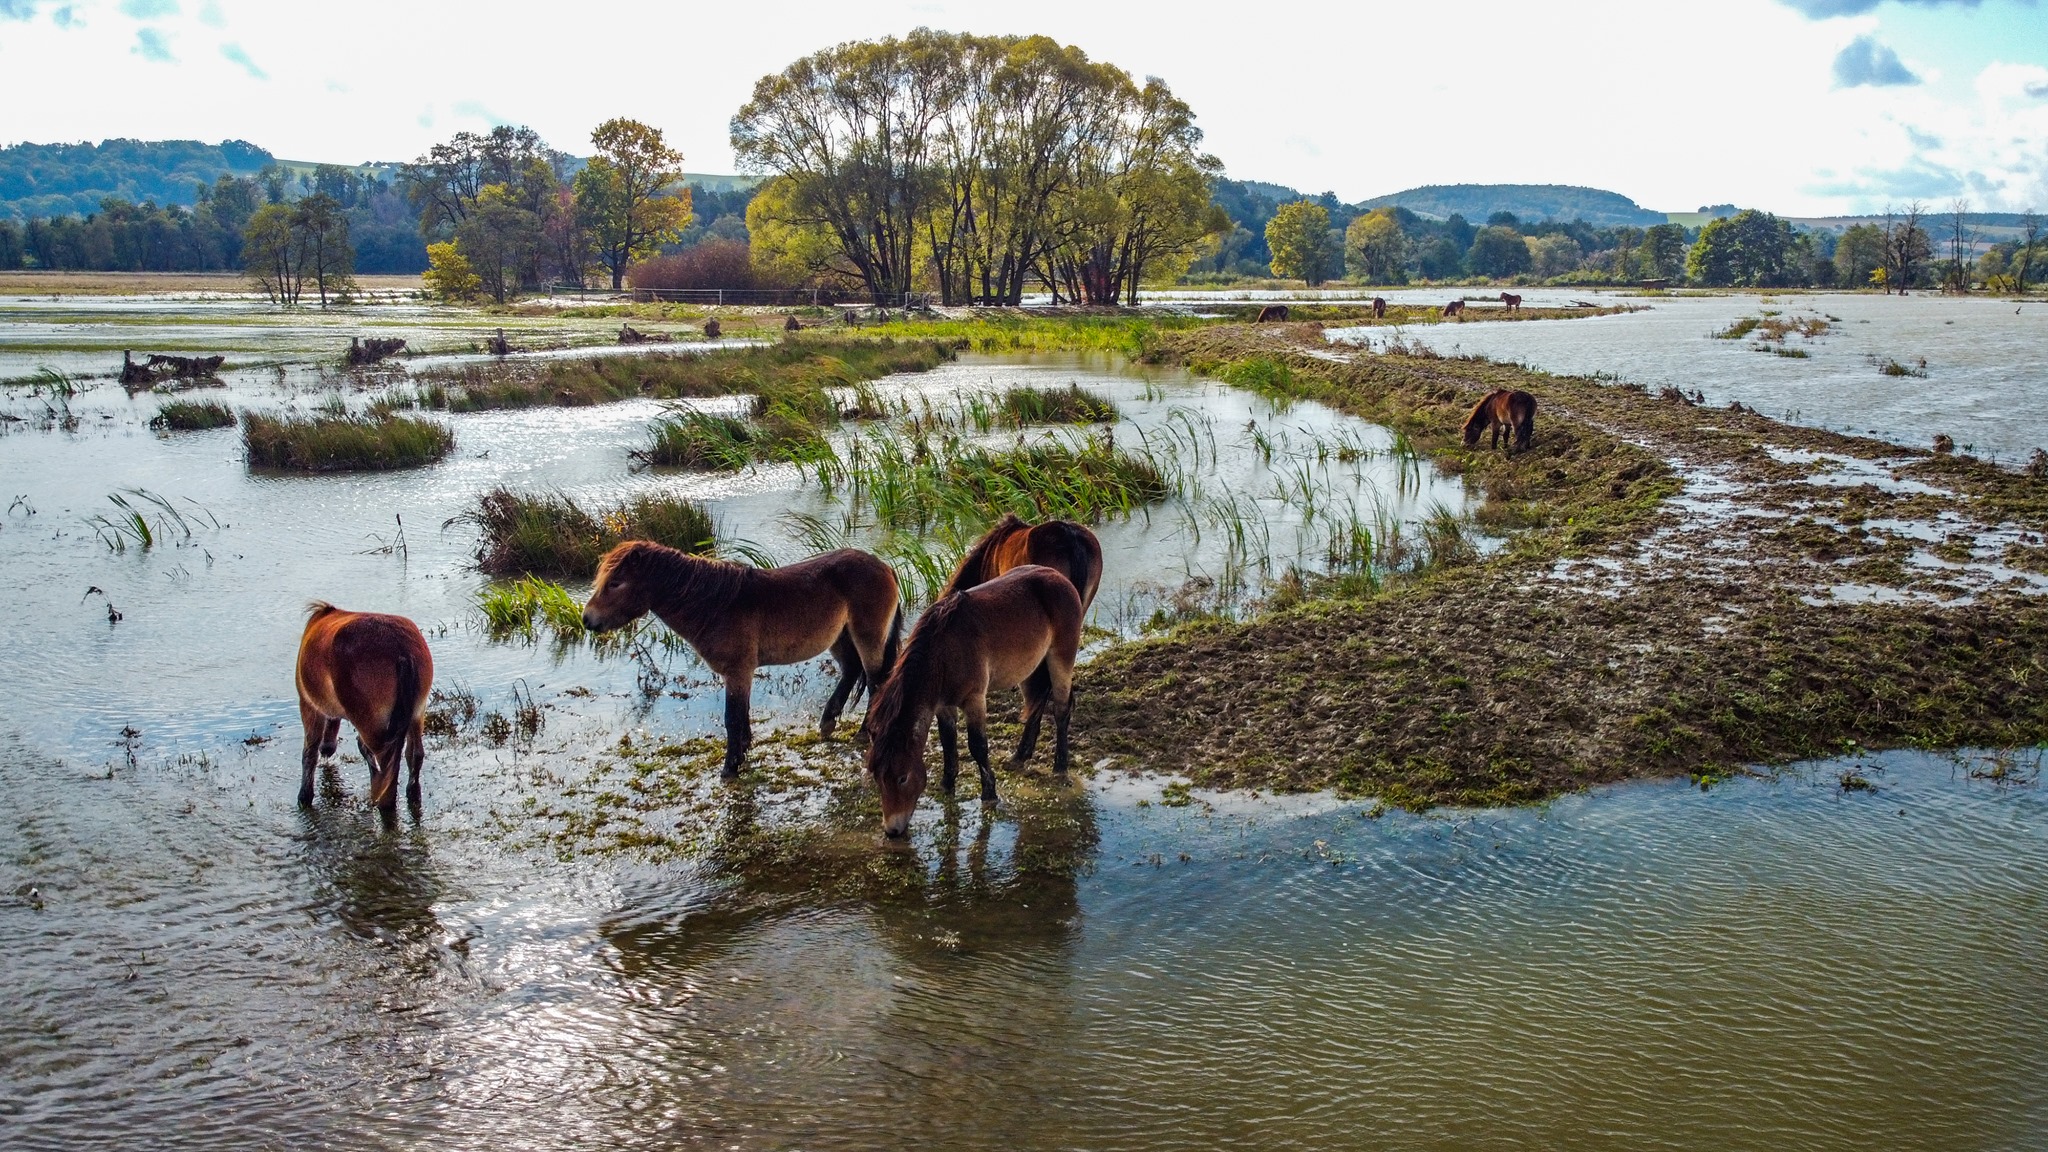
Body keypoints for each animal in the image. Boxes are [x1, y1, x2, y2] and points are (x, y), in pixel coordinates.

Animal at [296, 602, 436, 807]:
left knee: (387, 764)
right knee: (414, 755)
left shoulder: (309, 707)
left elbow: (309, 753)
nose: (327, 749)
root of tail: (402, 650)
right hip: (417, 713)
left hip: (369, 722)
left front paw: (304, 796)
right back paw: (412, 794)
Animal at [577, 537, 897, 770]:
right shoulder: (740, 674)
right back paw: (829, 721)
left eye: (615, 583)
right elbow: (742, 714)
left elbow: (732, 717)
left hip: (867, 636)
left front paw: (730, 766)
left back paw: (864, 732)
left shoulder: (737, 671)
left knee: (875, 682)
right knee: (852, 671)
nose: (587, 619)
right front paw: (743, 750)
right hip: (840, 636)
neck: (715, 604)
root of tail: (883, 566)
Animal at [864, 561, 1089, 832]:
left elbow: (978, 746)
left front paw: (989, 793)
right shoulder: (943, 706)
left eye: (902, 777)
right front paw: (947, 784)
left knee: (1061, 710)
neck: (943, 653)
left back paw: (1060, 767)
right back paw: (1019, 757)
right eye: (877, 777)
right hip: (1030, 668)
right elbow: (948, 742)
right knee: (1036, 705)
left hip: (1060, 660)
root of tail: (1057, 576)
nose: (892, 830)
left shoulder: (974, 700)